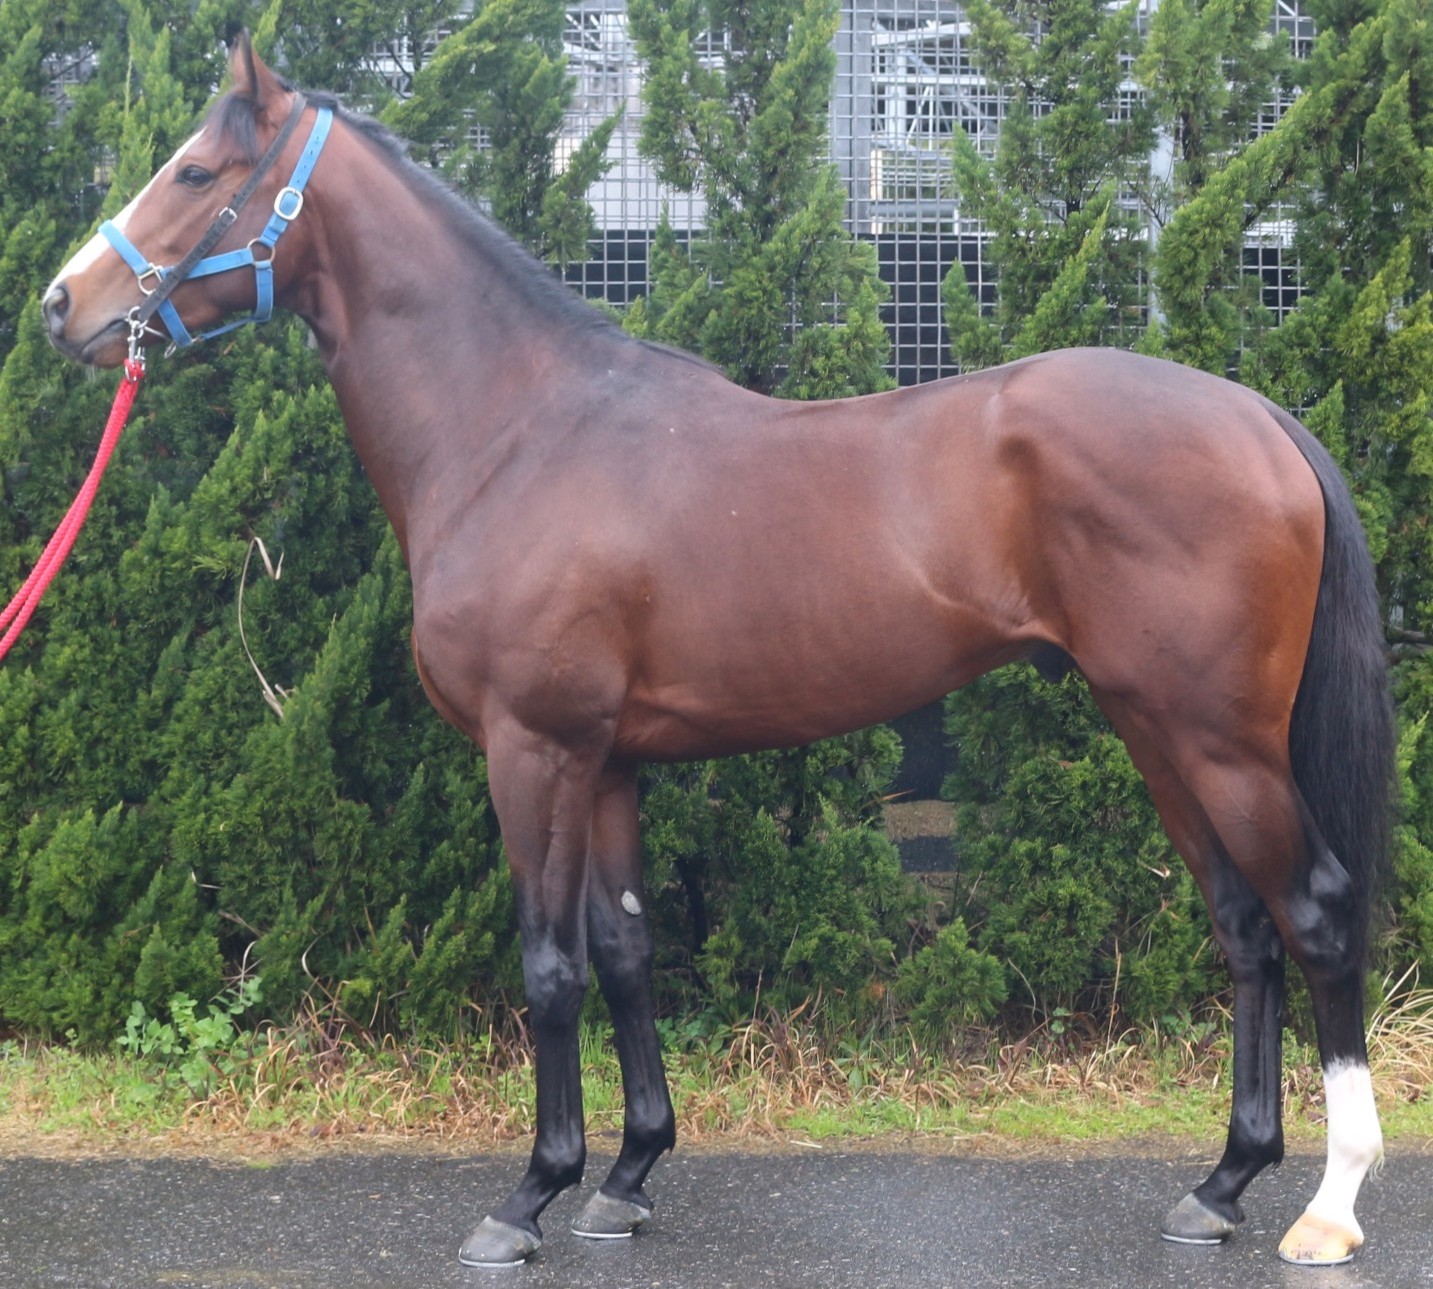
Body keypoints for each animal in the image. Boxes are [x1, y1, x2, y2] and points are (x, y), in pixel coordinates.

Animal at [41, 33, 1393, 1269]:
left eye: (195, 169)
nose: (65, 304)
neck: (517, 430)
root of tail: (1259, 416)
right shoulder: (609, 761)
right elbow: (628, 949)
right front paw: (627, 1175)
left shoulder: (534, 750)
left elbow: (549, 964)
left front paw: (528, 1195)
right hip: (1156, 730)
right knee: (1242, 924)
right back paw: (1218, 1184)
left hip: (1217, 740)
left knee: (1317, 913)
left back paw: (1325, 1209)